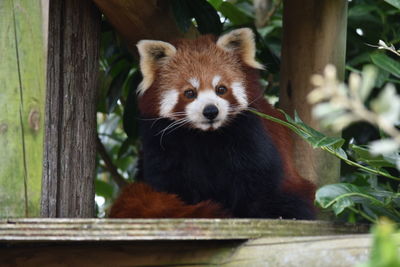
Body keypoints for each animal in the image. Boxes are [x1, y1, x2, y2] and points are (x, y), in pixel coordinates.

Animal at [109, 27, 316, 220]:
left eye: (221, 89)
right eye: (190, 93)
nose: (210, 111)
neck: (205, 137)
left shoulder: (249, 135)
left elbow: (258, 179)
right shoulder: (162, 142)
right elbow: (169, 184)